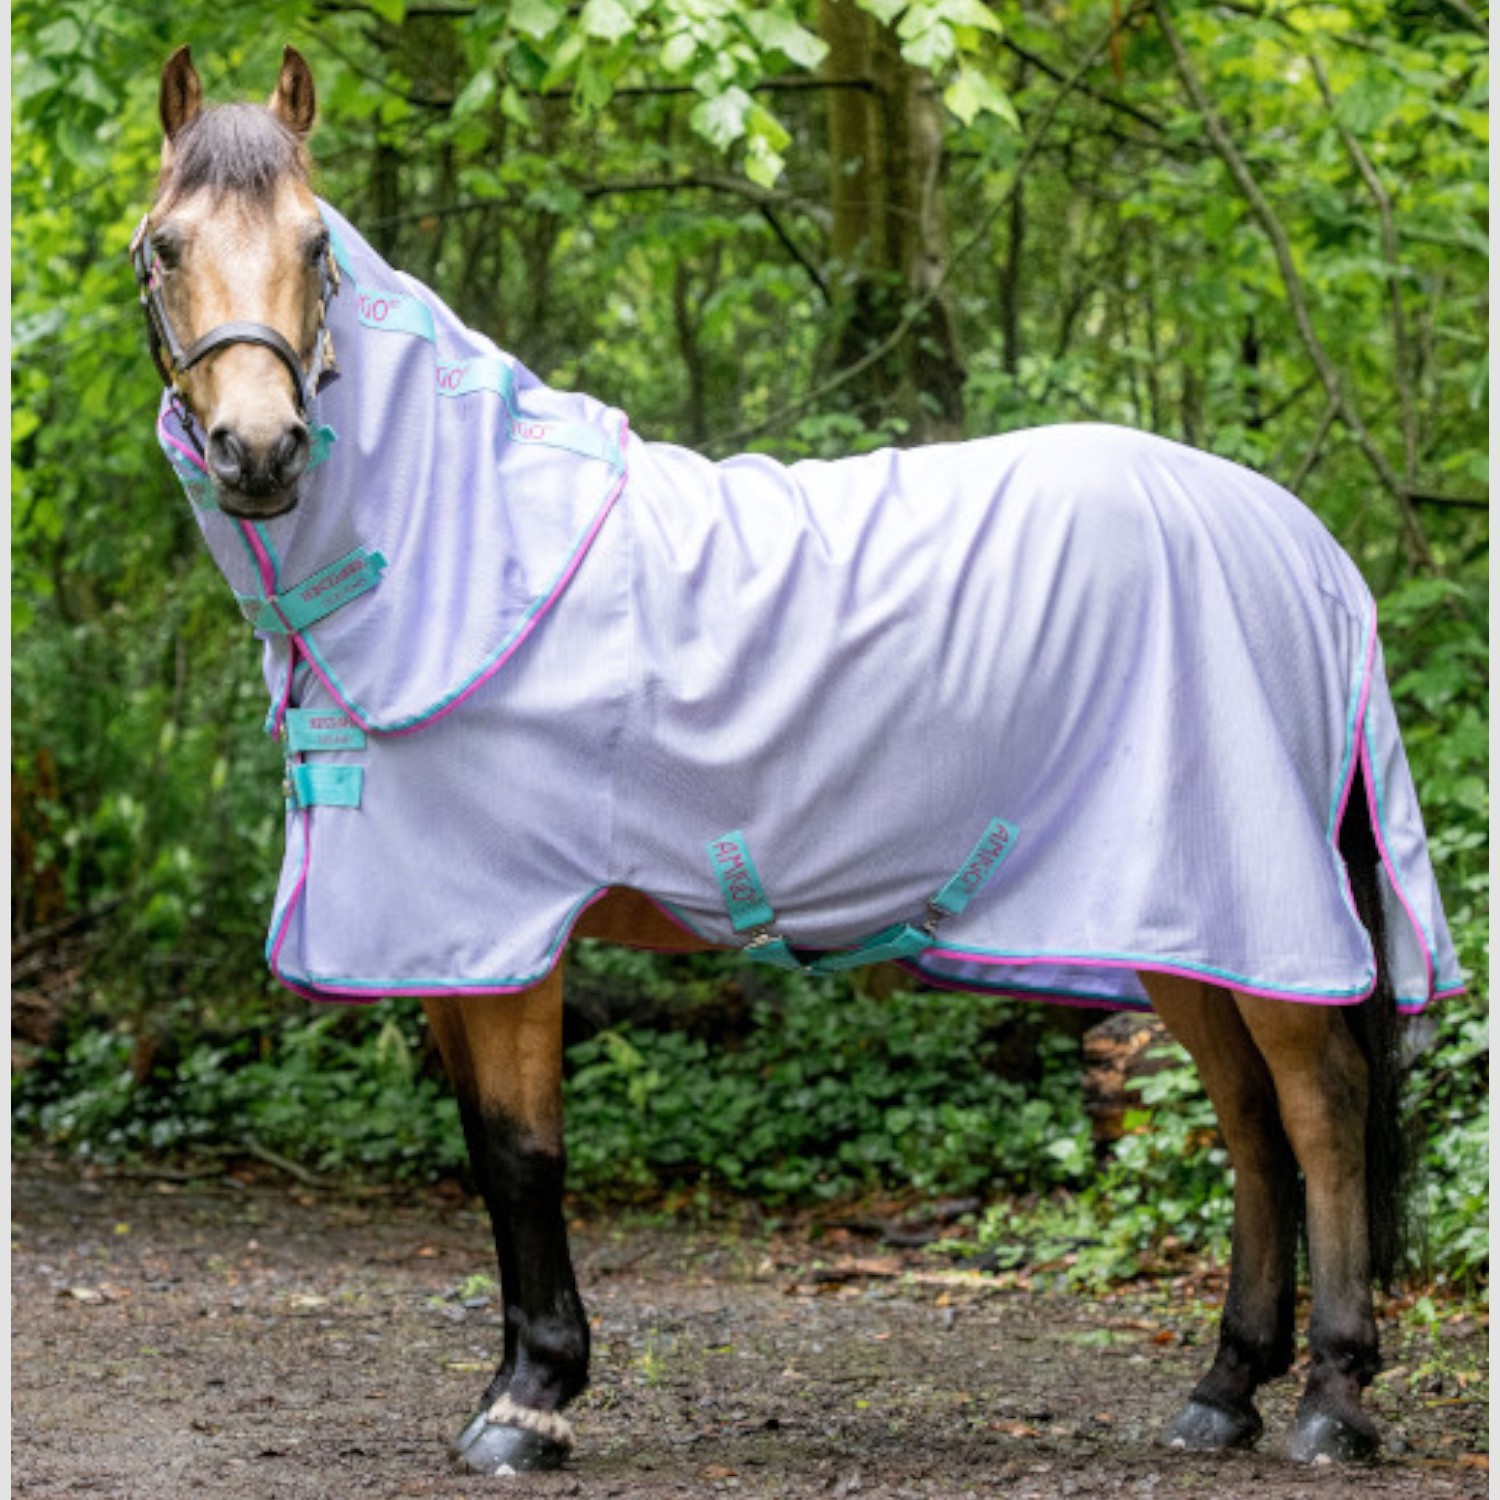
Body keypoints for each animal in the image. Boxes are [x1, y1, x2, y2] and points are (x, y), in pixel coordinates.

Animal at [134, 45, 1461, 1475]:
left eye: (317, 247)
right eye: (166, 246)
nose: (260, 451)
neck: (477, 541)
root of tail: (1302, 542)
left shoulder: (509, 932)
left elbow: (527, 1156)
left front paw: (530, 1400)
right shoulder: (445, 943)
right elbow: (491, 1155)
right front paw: (517, 1382)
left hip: (1261, 909)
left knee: (1321, 1107)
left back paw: (1332, 1400)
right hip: (1182, 920)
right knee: (1250, 1124)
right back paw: (1224, 1389)